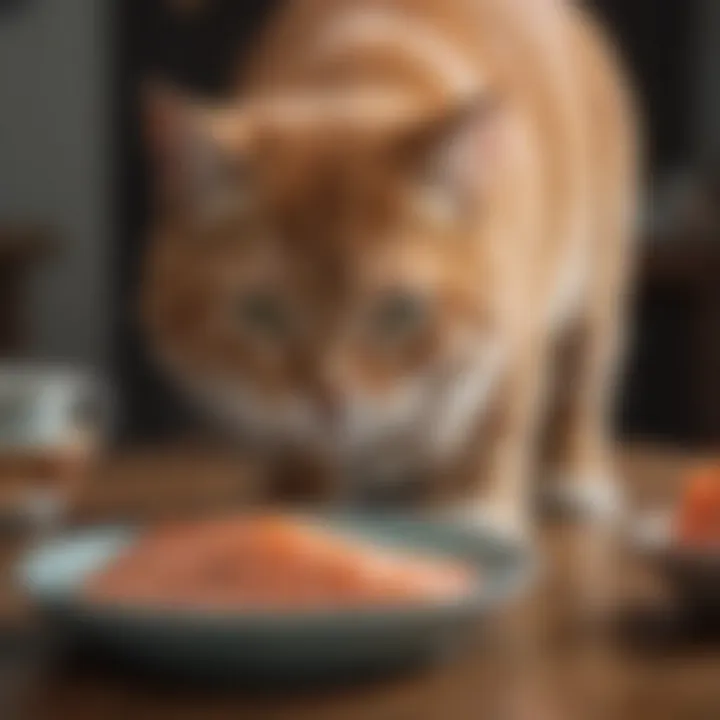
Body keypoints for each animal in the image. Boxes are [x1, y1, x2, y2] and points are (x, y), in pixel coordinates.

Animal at [141, 1, 636, 536]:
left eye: (399, 310)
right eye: (262, 311)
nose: (328, 400)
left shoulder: (508, 342)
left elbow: (488, 435)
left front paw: (468, 515)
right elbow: (296, 453)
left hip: (594, 286)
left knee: (581, 384)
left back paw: (574, 477)